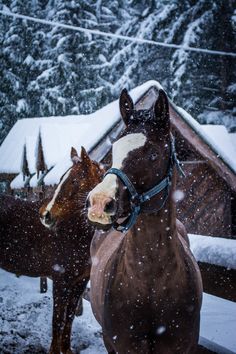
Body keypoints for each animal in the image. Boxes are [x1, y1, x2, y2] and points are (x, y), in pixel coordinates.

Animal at [0, 147, 103, 354]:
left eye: (74, 181)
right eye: (61, 179)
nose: (45, 215)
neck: (74, 232)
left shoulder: (79, 282)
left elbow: (69, 318)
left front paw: (67, 349)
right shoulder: (60, 280)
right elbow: (58, 320)